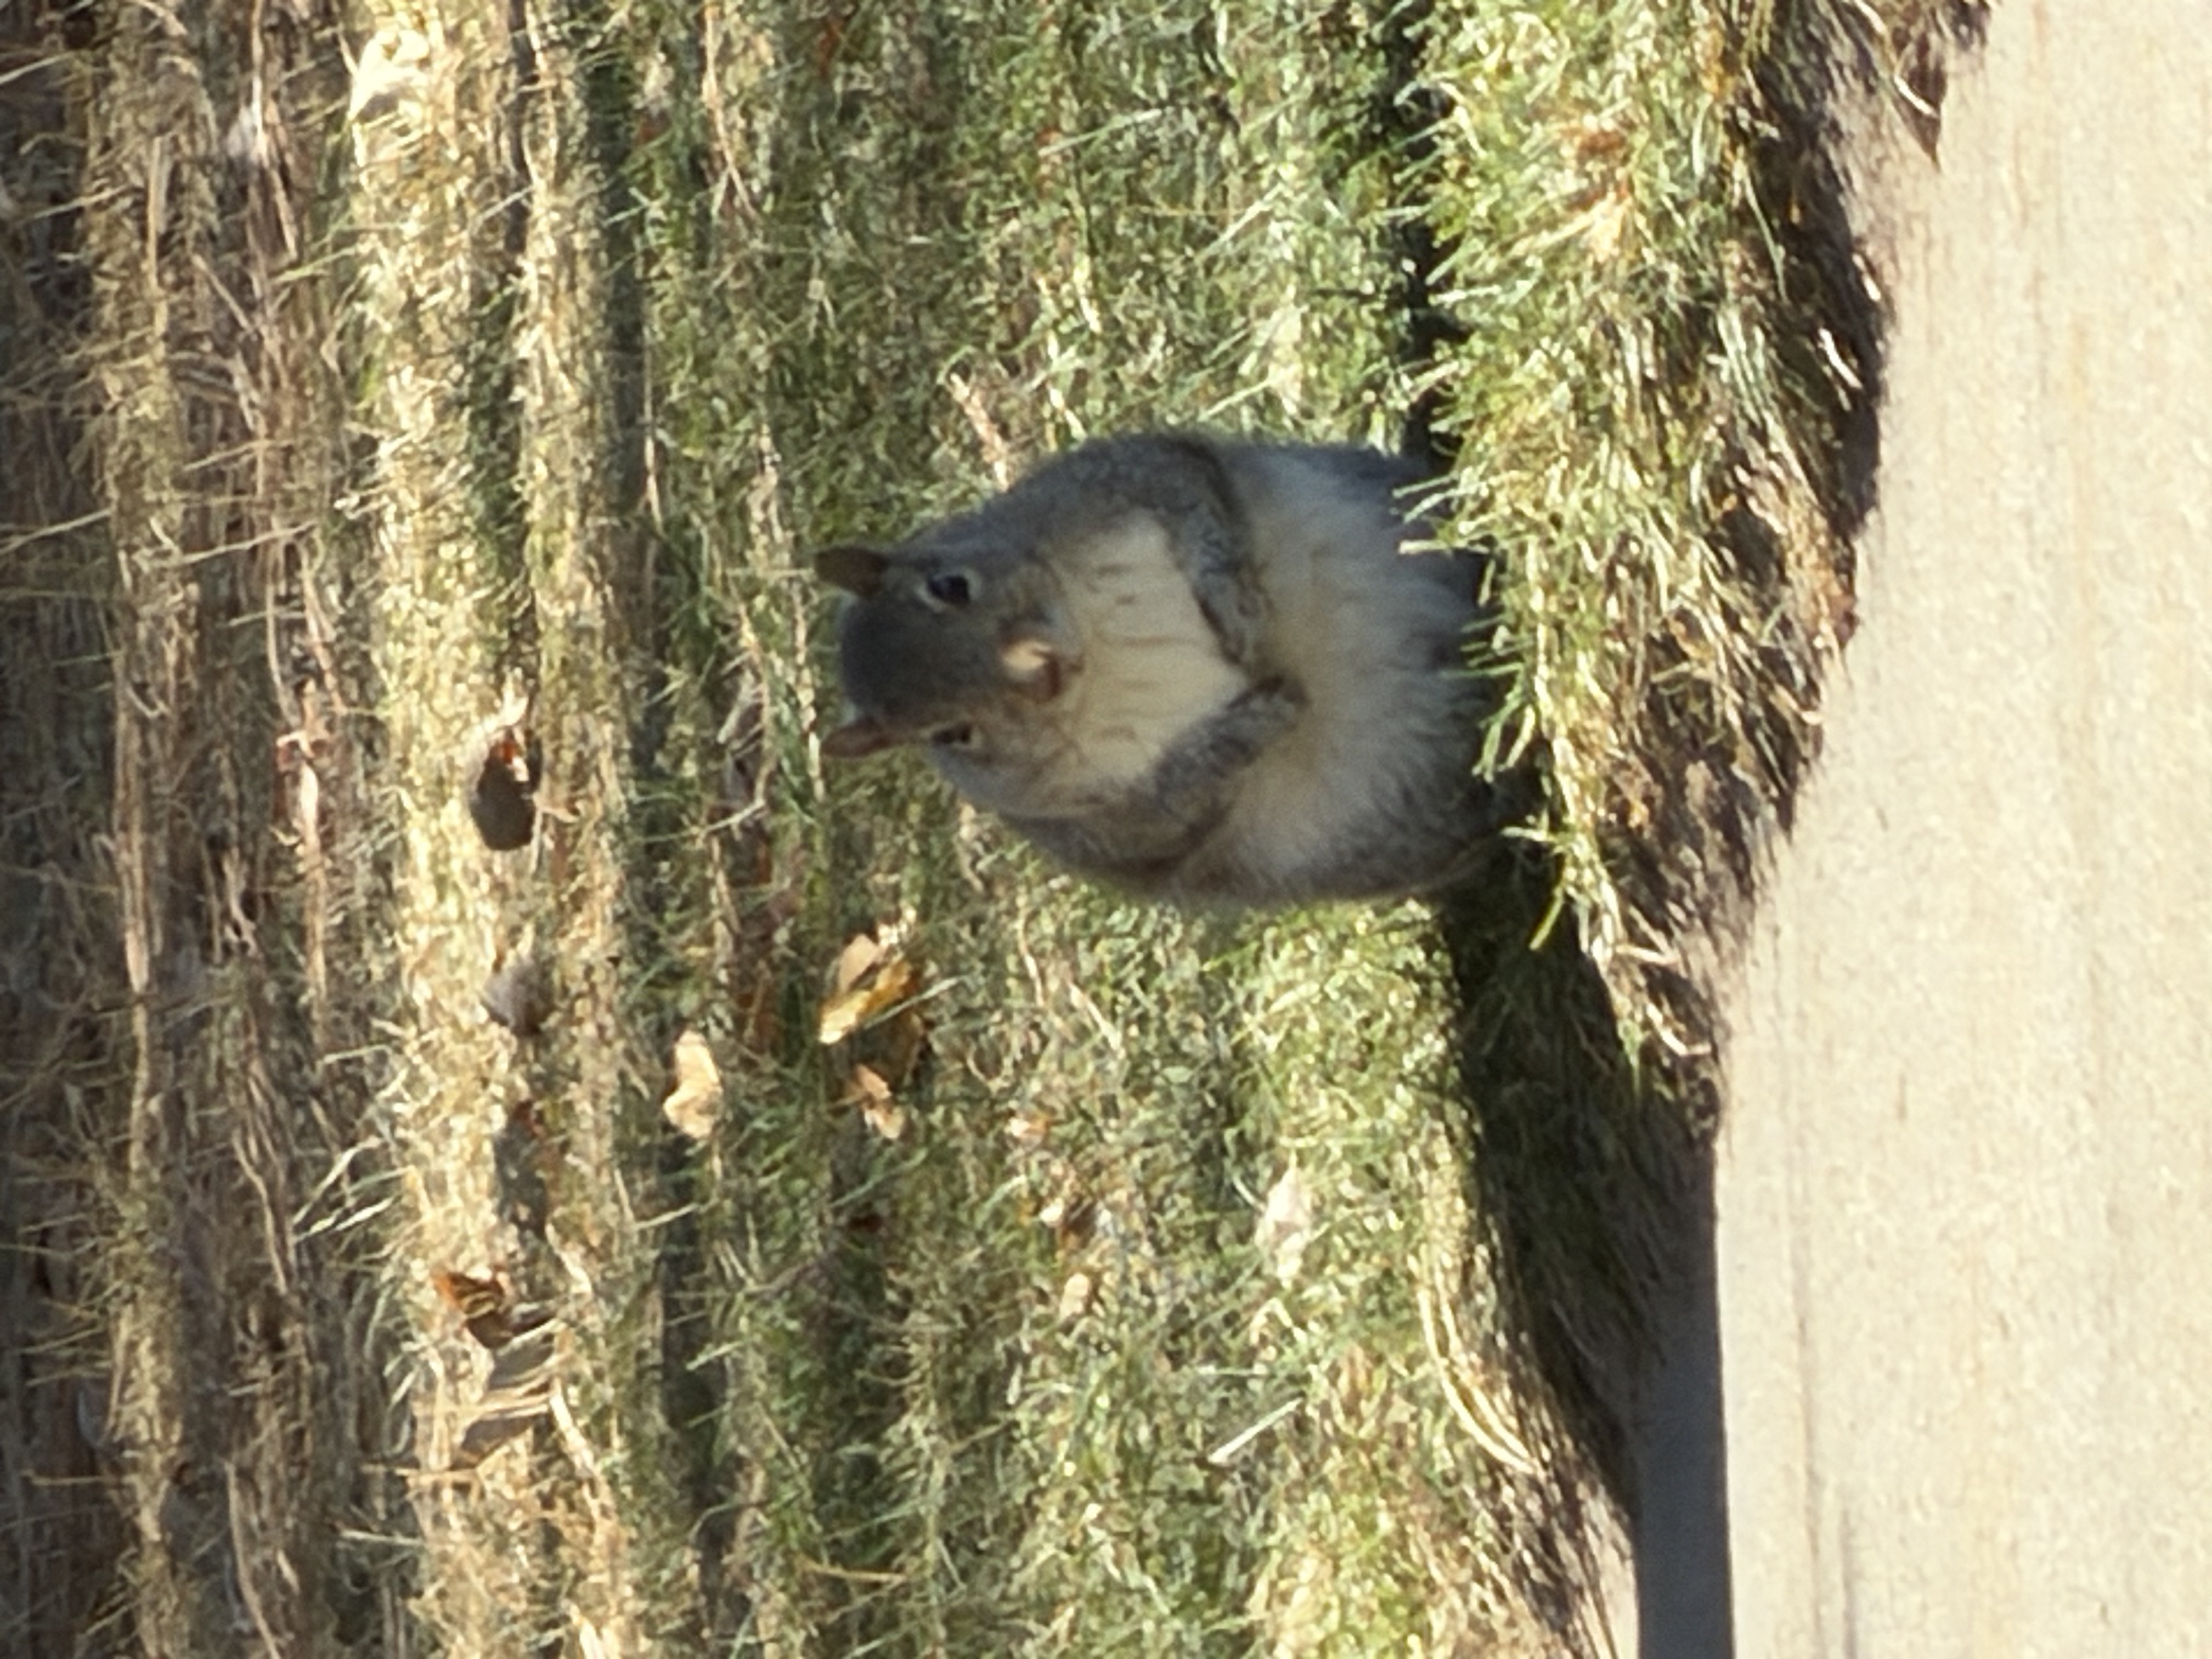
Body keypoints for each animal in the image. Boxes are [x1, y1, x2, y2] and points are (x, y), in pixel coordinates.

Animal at [815, 432, 1524, 908]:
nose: (1042, 671)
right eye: (951, 735)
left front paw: (1236, 608)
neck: (1099, 649)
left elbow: (1196, 504)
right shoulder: (1116, 823)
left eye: (951, 586)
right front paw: (1266, 714)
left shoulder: (1121, 481)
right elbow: (1191, 791)